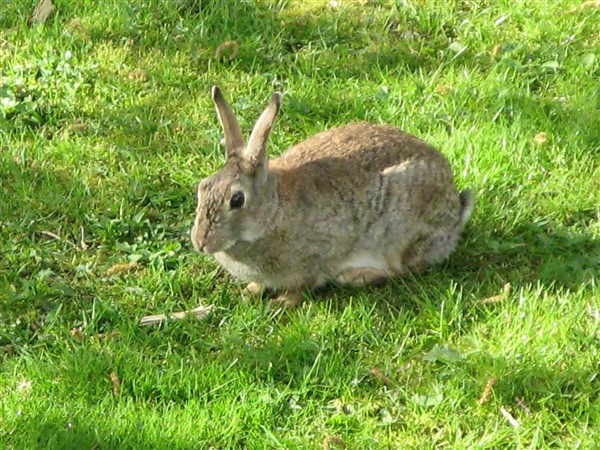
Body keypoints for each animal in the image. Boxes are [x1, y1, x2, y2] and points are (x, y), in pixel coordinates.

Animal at [191, 86, 474, 308]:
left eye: (237, 200)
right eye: (202, 187)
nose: (200, 242)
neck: (272, 212)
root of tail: (456, 213)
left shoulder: (319, 258)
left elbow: (304, 285)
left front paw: (282, 303)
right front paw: (250, 291)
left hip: (402, 232)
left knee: (401, 270)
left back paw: (356, 276)